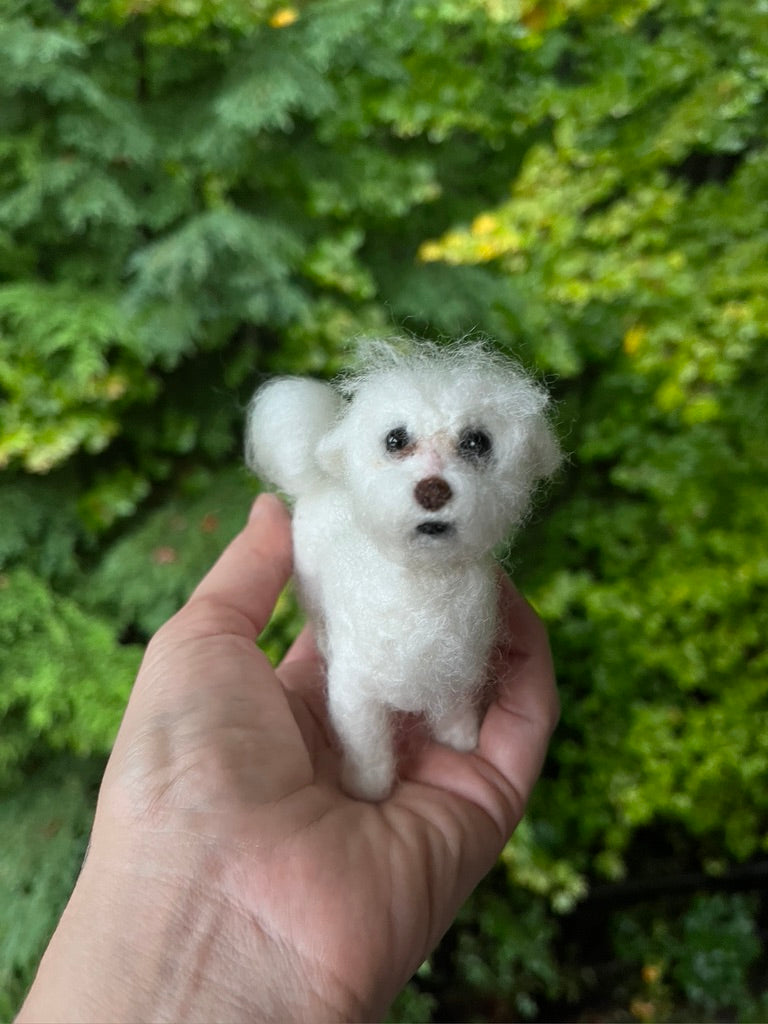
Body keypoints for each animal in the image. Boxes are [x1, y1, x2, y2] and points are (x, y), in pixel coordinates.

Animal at [246, 344, 561, 798]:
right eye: (395, 439)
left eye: (477, 442)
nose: (433, 490)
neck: (421, 585)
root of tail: (317, 479)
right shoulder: (355, 696)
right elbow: (368, 746)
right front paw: (367, 789)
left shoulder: (454, 674)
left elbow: (453, 713)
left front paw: (460, 741)